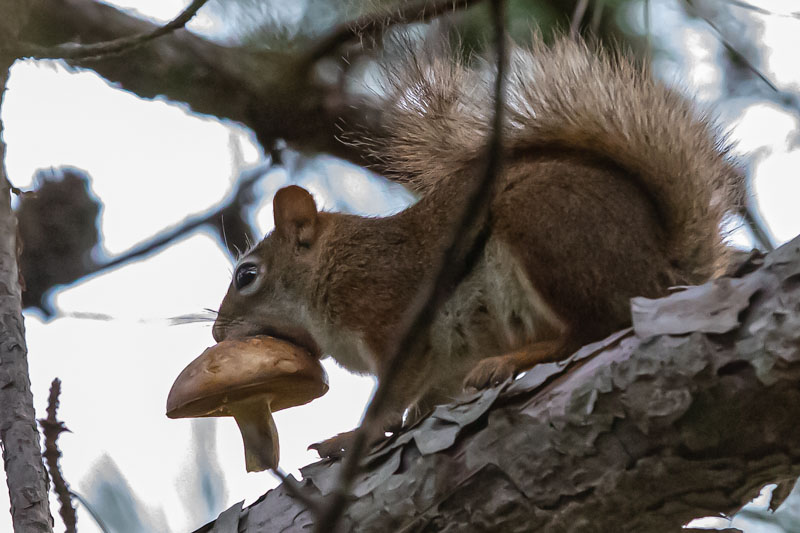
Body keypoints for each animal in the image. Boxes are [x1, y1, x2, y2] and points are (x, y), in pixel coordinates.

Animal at [212, 36, 744, 458]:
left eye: (247, 275)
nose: (217, 334)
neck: (333, 265)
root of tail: (666, 270)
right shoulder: (442, 364)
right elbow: (428, 395)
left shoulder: (394, 318)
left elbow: (387, 401)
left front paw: (352, 437)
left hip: (545, 231)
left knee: (595, 326)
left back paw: (509, 362)